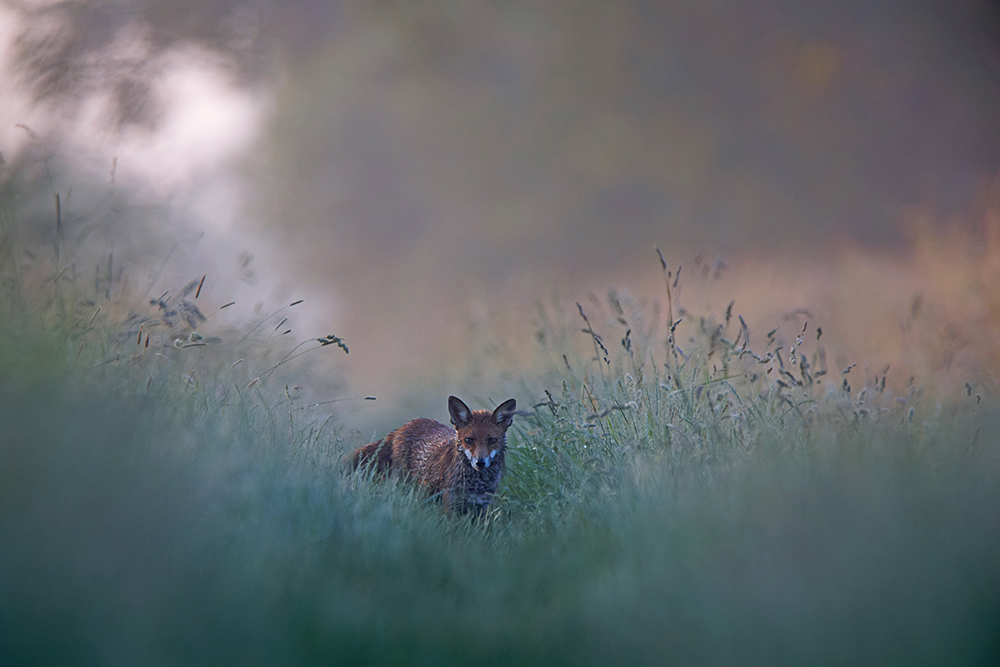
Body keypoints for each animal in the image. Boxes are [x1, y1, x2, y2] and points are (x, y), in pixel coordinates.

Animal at [352, 396, 520, 516]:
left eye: (492, 440)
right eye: (468, 440)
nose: (480, 462)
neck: (476, 484)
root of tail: (404, 426)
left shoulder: (482, 506)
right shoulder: (451, 503)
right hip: (404, 486)